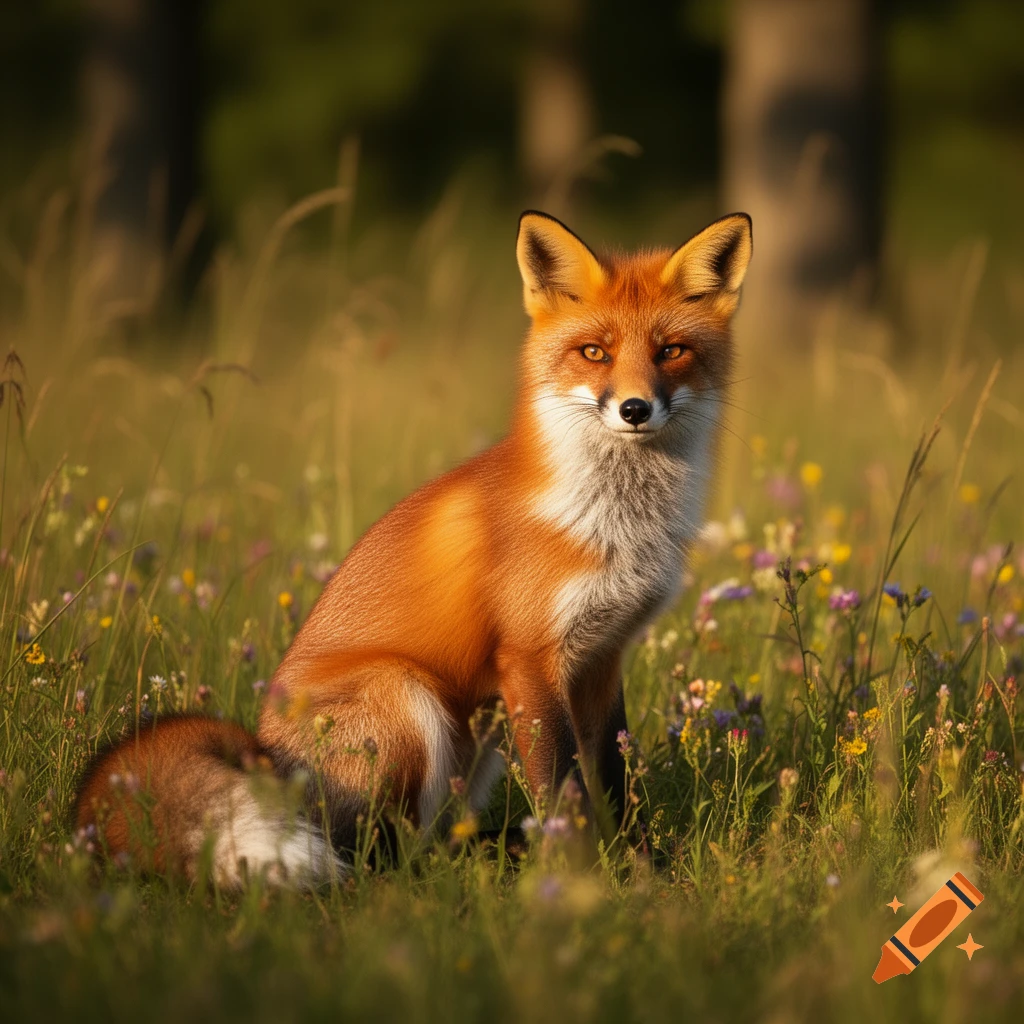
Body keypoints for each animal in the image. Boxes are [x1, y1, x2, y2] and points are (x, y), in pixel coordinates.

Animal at [75, 209, 753, 886]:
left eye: (671, 351)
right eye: (595, 352)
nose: (635, 408)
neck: (615, 525)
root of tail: (266, 756)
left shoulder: (602, 658)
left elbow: (615, 782)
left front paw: (641, 871)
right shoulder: (532, 659)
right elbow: (564, 793)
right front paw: (580, 878)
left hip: (478, 742)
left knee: (436, 844)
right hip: (409, 698)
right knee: (379, 858)